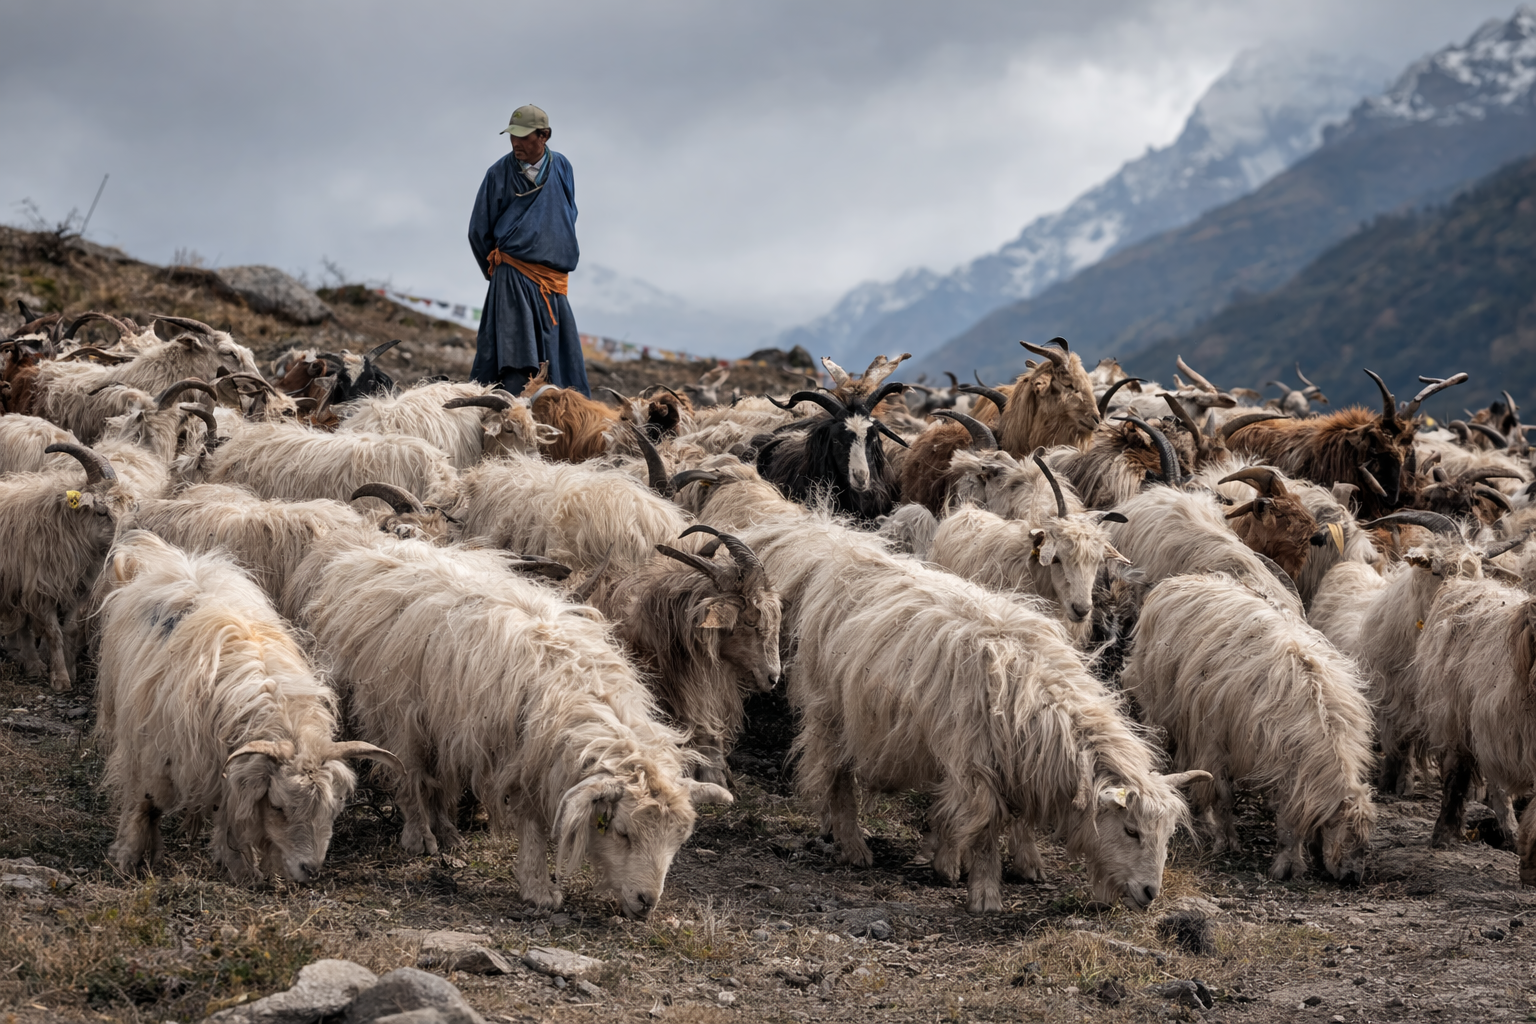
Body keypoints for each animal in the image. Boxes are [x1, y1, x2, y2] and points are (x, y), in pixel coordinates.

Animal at [95, 531, 396, 883]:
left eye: (333, 810)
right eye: (278, 806)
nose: (310, 870)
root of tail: (172, 559)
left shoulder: (227, 767)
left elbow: (231, 815)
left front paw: (240, 868)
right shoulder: (150, 752)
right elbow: (144, 804)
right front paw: (127, 857)